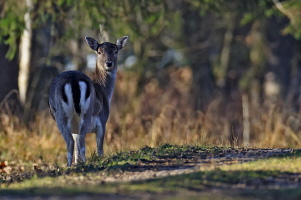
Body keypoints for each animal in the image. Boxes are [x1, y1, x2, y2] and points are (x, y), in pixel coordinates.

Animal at [48, 35, 127, 166]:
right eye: (99, 52)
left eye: (115, 51)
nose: (109, 63)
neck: (104, 93)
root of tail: (73, 81)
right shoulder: (102, 120)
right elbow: (99, 147)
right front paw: (100, 159)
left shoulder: (75, 129)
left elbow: (76, 150)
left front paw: (76, 163)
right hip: (86, 113)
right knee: (80, 142)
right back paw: (85, 163)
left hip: (62, 116)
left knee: (72, 143)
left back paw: (70, 166)